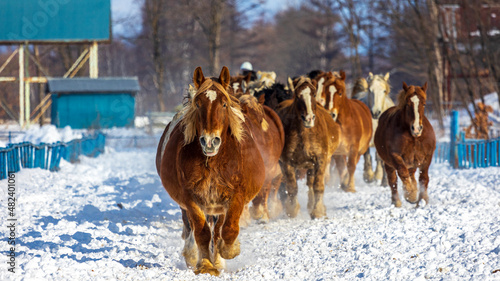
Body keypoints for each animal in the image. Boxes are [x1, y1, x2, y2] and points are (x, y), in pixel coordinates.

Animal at [155, 66, 266, 276]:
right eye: (198, 104)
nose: (209, 141)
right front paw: (205, 265)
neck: (214, 162)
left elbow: (228, 229)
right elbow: (202, 232)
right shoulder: (191, 198)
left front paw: (228, 251)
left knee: (219, 229)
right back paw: (194, 255)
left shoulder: (236, 195)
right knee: (192, 228)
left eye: (224, 104)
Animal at [276, 76, 342, 219]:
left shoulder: (320, 160)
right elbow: (292, 187)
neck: (305, 134)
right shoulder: (287, 162)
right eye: (297, 96)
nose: (308, 118)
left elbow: (318, 186)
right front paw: (292, 211)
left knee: (311, 184)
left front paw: (317, 211)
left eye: (313, 94)